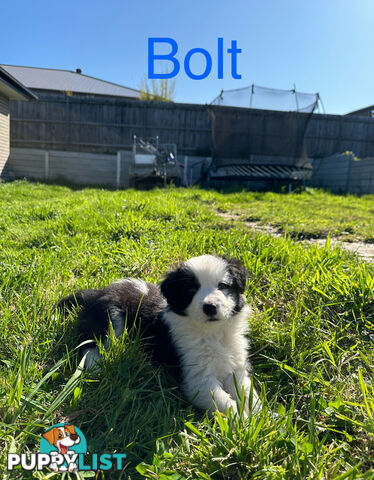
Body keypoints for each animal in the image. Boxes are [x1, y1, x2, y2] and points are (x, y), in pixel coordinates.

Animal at [59, 255, 262, 416]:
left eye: (223, 286)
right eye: (191, 290)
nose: (210, 307)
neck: (214, 332)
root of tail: (97, 292)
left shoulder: (236, 367)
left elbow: (248, 393)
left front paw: (261, 418)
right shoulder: (197, 378)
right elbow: (223, 401)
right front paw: (242, 423)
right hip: (112, 319)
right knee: (90, 344)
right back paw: (96, 368)